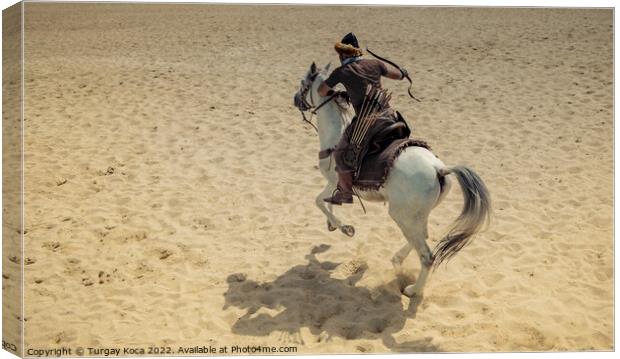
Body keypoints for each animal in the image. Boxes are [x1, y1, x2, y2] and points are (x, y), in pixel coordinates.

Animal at [294, 63, 492, 300]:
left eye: (303, 84)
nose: (296, 100)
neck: (335, 136)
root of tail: (439, 169)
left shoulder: (336, 183)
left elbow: (319, 201)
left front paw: (344, 228)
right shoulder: (335, 186)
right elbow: (323, 202)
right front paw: (333, 225)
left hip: (402, 215)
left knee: (427, 256)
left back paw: (413, 290)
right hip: (415, 215)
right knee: (422, 236)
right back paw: (398, 261)